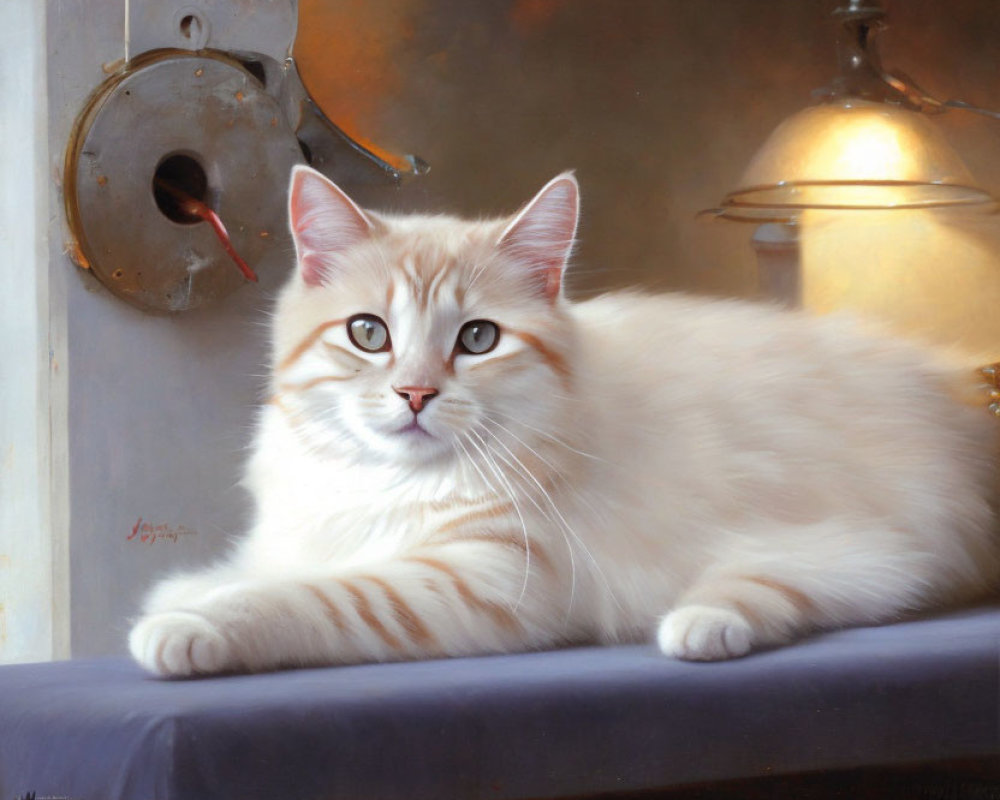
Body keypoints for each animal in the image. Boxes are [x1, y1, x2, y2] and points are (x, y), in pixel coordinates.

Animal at [129, 167, 996, 676]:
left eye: (477, 339)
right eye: (368, 333)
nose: (415, 394)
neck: (386, 484)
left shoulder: (485, 579)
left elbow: (312, 597)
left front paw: (189, 624)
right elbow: (262, 567)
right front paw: (186, 590)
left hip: (854, 546)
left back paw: (699, 626)